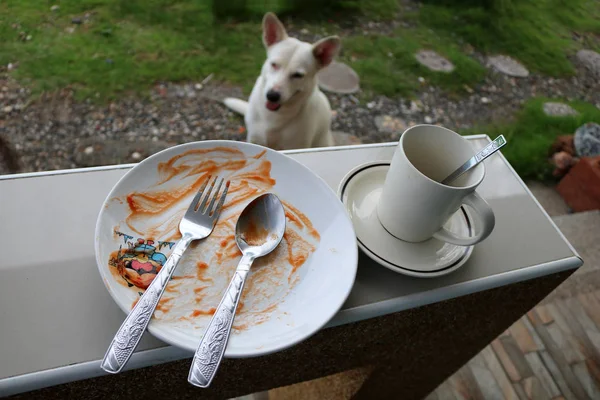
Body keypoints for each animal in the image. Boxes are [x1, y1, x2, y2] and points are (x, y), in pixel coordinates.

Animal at [223, 12, 340, 151]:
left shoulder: (295, 146)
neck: (274, 116)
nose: (272, 96)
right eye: (274, 64)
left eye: (298, 75)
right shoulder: (254, 139)